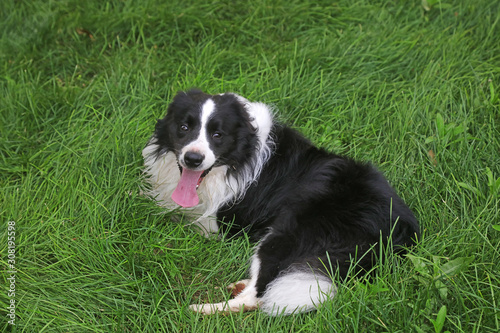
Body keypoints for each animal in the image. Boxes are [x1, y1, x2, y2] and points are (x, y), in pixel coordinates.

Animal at [143, 89, 420, 316]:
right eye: (183, 127)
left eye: (217, 135)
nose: (193, 159)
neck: (240, 156)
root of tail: (397, 232)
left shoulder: (215, 223)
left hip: (287, 231)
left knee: (255, 298)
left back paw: (202, 309)